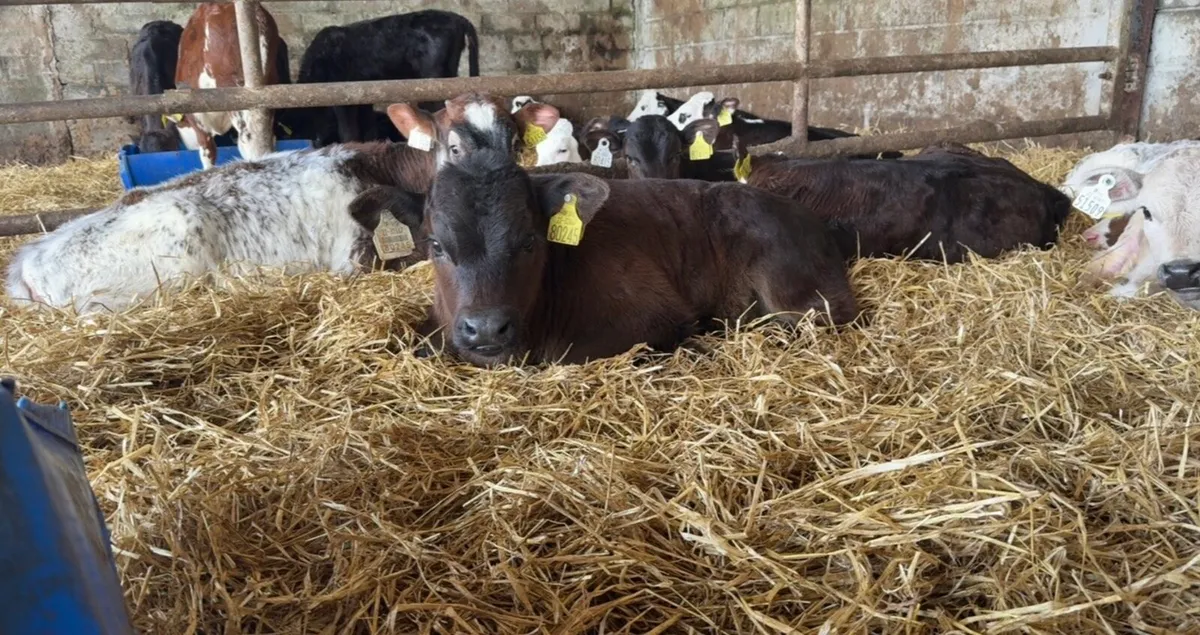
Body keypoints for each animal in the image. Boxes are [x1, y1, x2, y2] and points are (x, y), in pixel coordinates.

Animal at [294, 10, 480, 146]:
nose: (316, 142)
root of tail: (456, 17)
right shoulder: (363, 96)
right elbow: (368, 127)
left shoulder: (342, 96)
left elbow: (348, 130)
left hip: (434, 78)